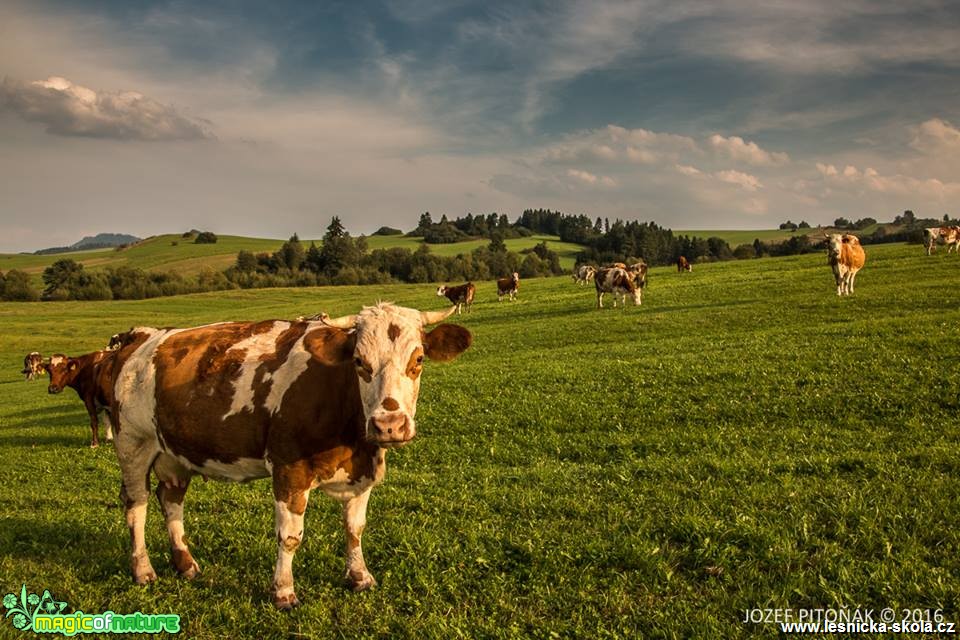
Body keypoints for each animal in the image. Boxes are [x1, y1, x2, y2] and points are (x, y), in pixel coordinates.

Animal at [110, 304, 470, 608]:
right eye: (359, 362)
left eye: (419, 359)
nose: (389, 425)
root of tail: (138, 337)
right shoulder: (288, 469)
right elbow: (290, 536)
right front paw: (283, 591)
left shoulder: (363, 470)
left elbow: (355, 528)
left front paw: (360, 576)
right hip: (133, 444)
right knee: (136, 504)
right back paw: (143, 569)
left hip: (173, 451)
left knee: (170, 499)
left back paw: (185, 563)